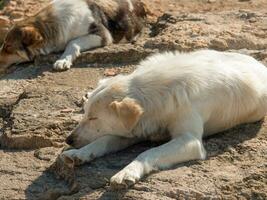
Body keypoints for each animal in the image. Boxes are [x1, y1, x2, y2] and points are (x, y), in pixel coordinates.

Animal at [60, 49, 267, 188]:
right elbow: (102, 141)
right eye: (86, 114)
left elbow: (148, 152)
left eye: (94, 118)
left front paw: (128, 171)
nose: (68, 140)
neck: (157, 93)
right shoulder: (136, 130)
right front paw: (80, 154)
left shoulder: (190, 141)